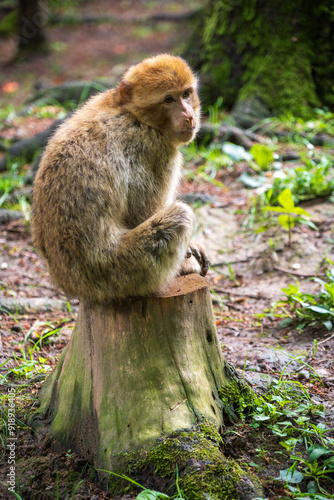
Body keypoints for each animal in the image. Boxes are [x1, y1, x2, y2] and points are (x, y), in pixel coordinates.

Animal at [31, 55, 209, 304]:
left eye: (186, 94)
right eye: (168, 99)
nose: (189, 116)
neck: (132, 113)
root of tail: (67, 281)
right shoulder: (155, 150)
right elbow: (142, 214)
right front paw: (188, 258)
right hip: (118, 272)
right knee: (179, 217)